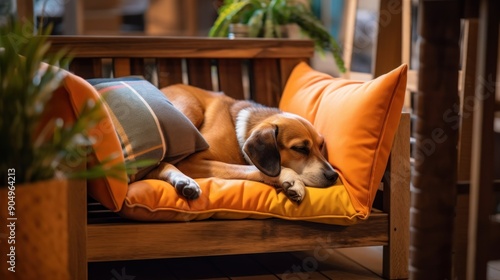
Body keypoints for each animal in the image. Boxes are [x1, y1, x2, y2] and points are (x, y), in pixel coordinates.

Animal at [146, 83, 340, 203]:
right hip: (189, 109)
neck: (238, 132)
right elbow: (252, 169)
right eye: (300, 149)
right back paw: (185, 181)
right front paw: (291, 178)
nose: (333, 175)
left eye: (321, 146)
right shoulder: (192, 162)